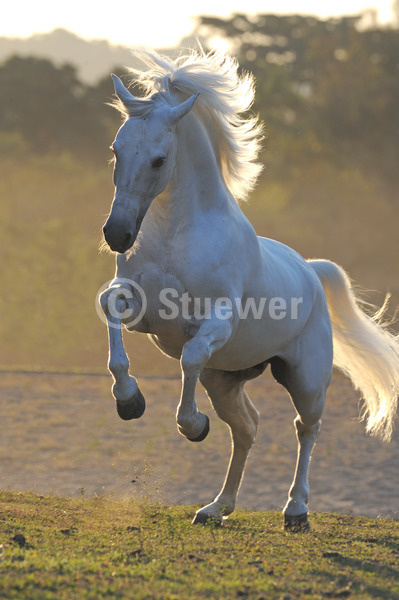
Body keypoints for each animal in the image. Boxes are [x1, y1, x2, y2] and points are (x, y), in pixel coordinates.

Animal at [99, 50, 399, 528]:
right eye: (116, 150)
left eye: (159, 160)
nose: (118, 234)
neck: (177, 235)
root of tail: (311, 270)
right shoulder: (140, 309)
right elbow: (109, 308)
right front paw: (129, 401)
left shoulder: (214, 323)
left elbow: (191, 356)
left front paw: (192, 426)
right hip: (225, 379)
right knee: (247, 428)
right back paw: (215, 507)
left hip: (306, 378)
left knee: (306, 429)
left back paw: (295, 511)